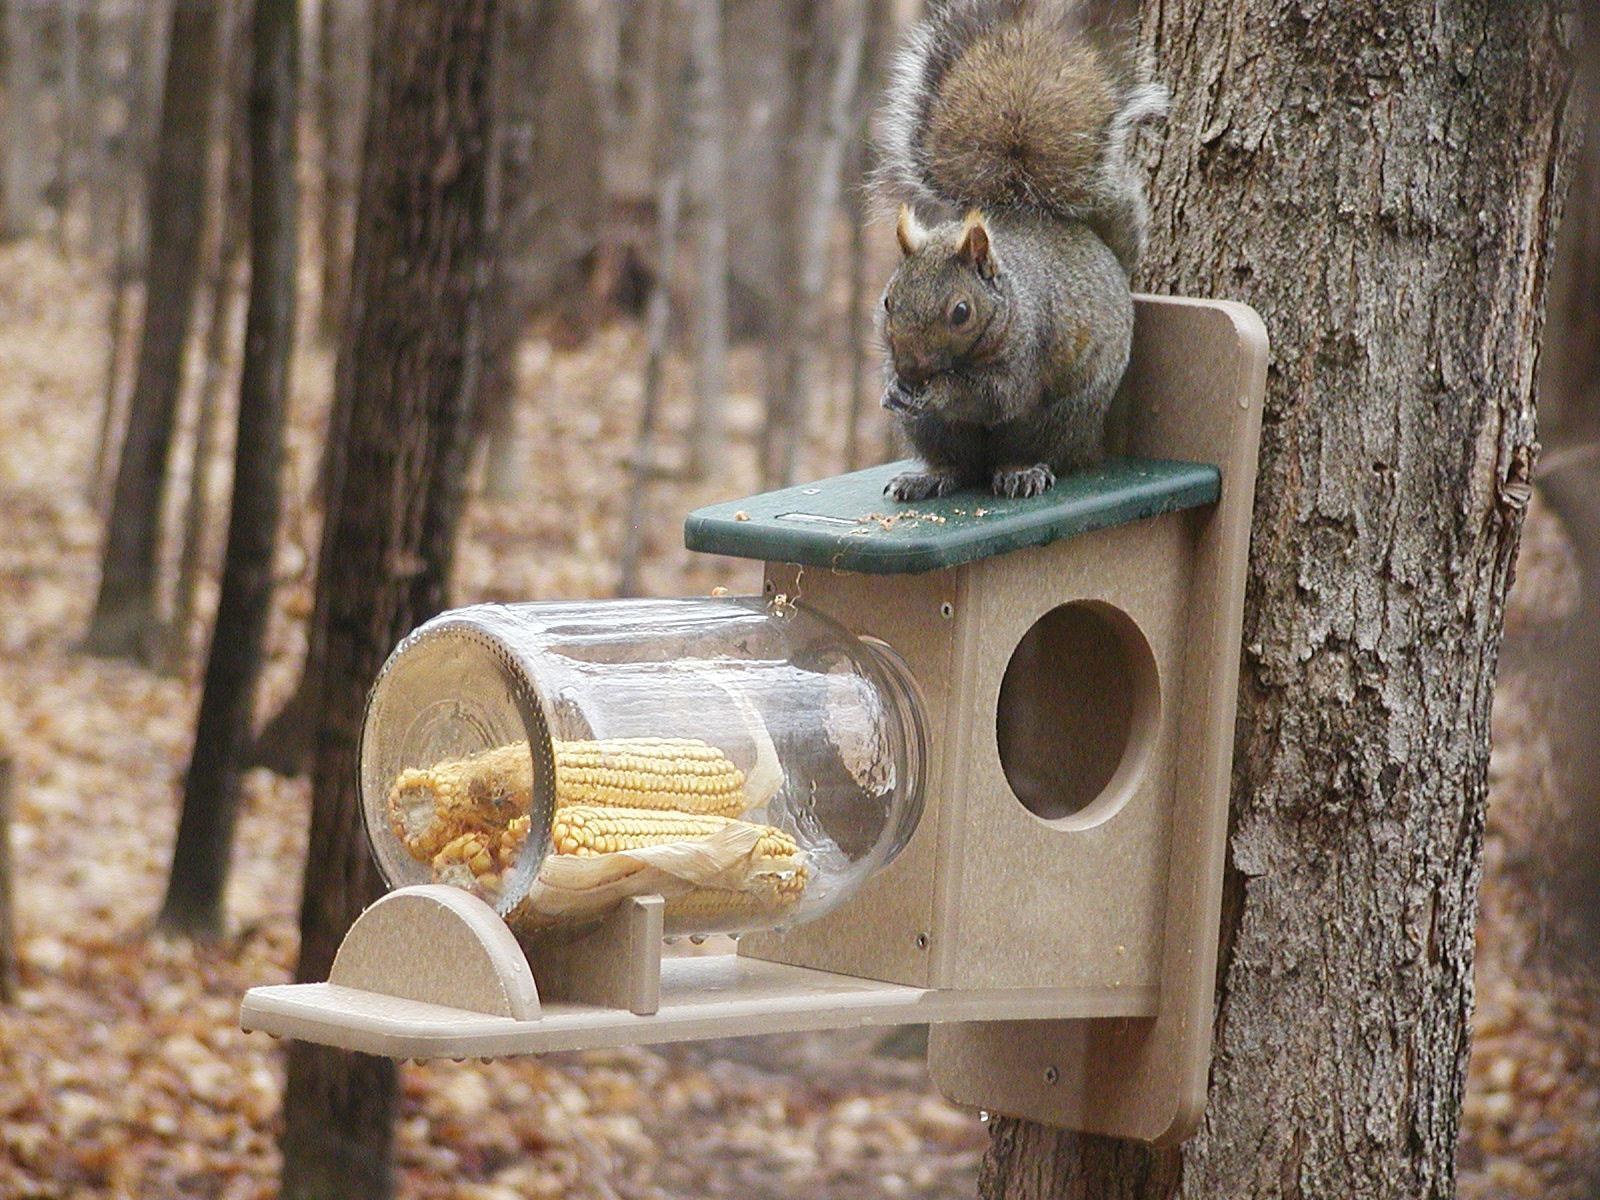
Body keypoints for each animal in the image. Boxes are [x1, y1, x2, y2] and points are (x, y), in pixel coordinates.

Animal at [870, 0, 1171, 499]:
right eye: (888, 301)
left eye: (961, 312)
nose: (911, 371)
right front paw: (893, 388)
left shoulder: (1026, 349)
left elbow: (993, 396)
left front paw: (940, 390)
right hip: (932, 431)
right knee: (957, 464)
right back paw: (928, 476)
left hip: (1059, 418)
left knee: (1030, 448)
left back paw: (1021, 471)